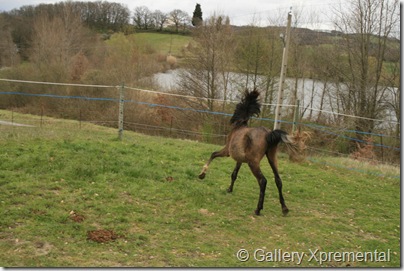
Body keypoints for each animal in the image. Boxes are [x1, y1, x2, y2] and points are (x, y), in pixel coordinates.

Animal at [197, 89, 304, 217]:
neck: (239, 126)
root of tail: (268, 134)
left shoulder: (227, 151)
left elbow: (213, 154)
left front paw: (202, 174)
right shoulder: (239, 159)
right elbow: (234, 174)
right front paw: (229, 189)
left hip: (253, 163)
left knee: (263, 181)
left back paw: (258, 209)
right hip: (272, 158)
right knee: (278, 180)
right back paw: (284, 208)